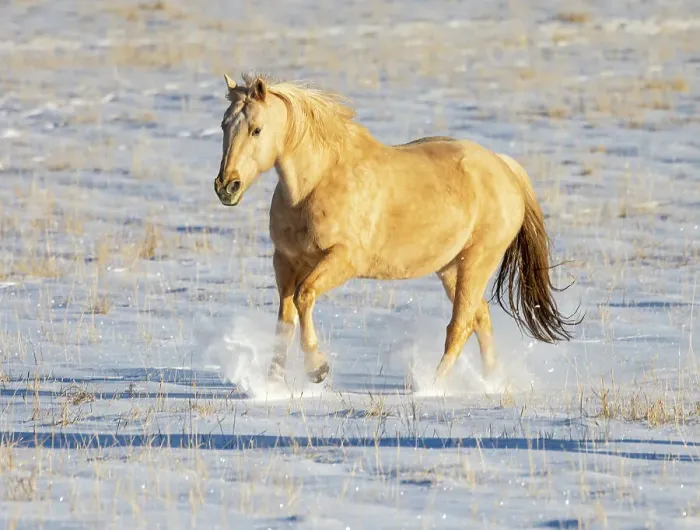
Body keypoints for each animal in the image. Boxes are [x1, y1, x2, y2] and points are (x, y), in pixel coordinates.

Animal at [213, 72, 580, 386]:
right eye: (224, 125)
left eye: (257, 129)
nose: (226, 187)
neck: (316, 184)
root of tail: (505, 167)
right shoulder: (286, 262)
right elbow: (285, 322)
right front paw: (272, 385)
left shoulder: (344, 260)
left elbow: (304, 298)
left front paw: (317, 369)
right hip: (451, 268)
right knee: (480, 318)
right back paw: (490, 383)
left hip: (477, 262)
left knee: (460, 325)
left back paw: (433, 386)